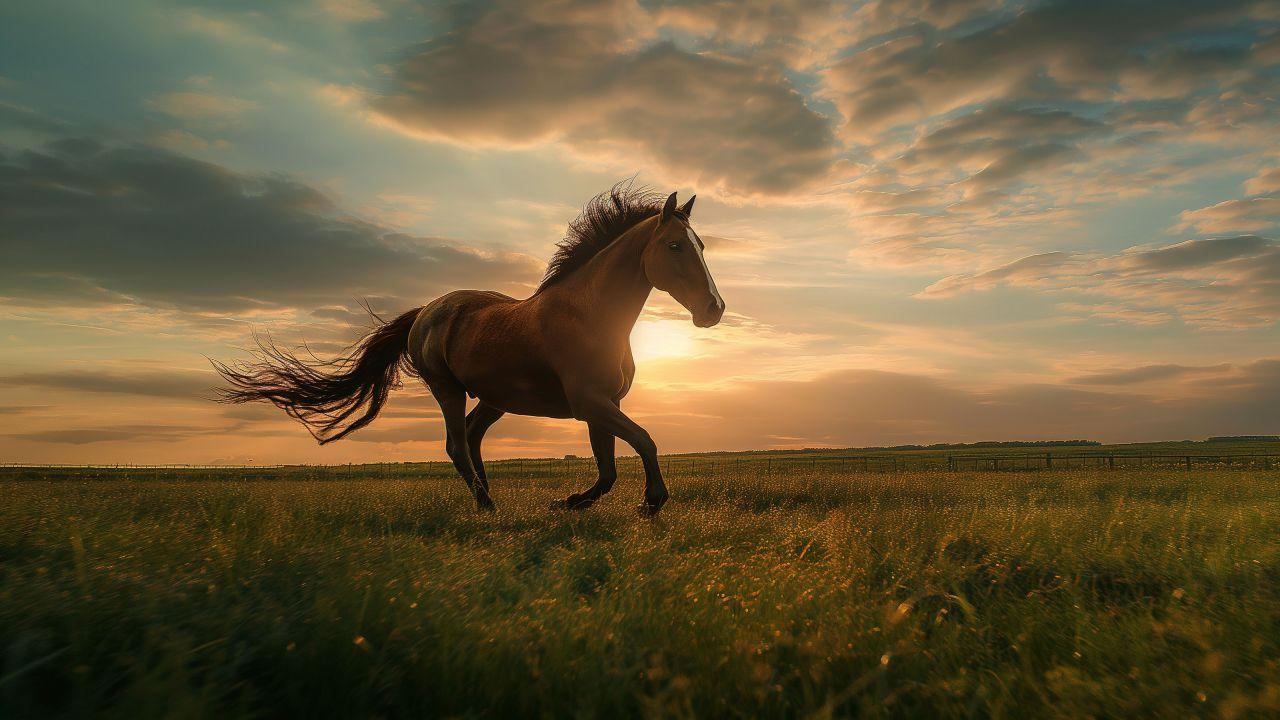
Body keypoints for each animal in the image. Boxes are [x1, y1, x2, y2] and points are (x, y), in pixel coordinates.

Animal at [213, 184, 724, 514]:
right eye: (675, 246)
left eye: (700, 245)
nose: (714, 309)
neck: (590, 315)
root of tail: (426, 311)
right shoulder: (590, 403)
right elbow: (643, 441)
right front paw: (652, 501)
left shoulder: (603, 404)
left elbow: (608, 468)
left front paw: (571, 502)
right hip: (447, 389)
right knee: (456, 444)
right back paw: (485, 502)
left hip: (494, 398)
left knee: (474, 437)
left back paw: (488, 492)